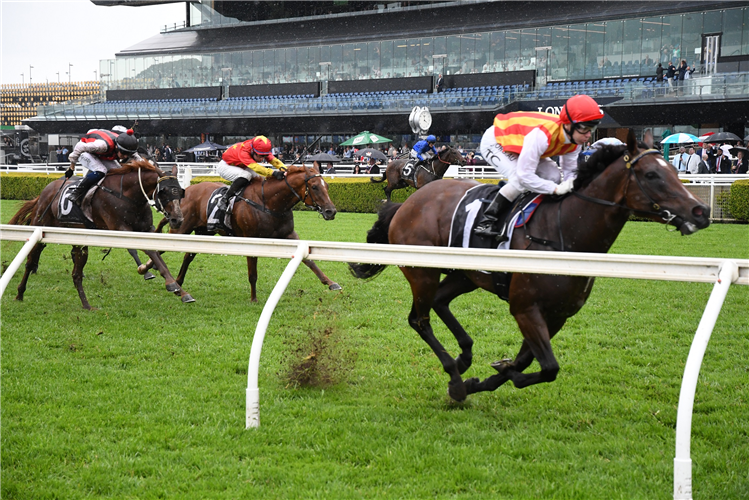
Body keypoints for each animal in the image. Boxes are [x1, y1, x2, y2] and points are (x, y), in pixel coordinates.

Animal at [8, 160, 193, 308]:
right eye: (164, 191)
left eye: (180, 191)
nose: (177, 219)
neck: (128, 195)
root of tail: (44, 191)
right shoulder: (120, 229)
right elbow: (146, 251)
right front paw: (170, 283)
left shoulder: (146, 229)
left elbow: (157, 256)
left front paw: (180, 290)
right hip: (42, 227)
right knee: (30, 260)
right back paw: (20, 292)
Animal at [140, 163, 338, 300]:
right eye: (314, 187)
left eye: (327, 186)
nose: (331, 211)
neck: (269, 203)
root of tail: (186, 190)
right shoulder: (251, 240)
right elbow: (253, 273)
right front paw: (254, 299)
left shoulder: (289, 235)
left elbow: (310, 261)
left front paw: (330, 283)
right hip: (181, 228)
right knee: (158, 247)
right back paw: (148, 270)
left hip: (204, 232)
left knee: (187, 256)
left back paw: (178, 282)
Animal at [348, 132, 712, 402]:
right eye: (652, 174)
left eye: (675, 171)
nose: (701, 211)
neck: (565, 231)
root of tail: (406, 205)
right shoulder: (525, 307)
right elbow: (548, 367)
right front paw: (481, 378)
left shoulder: (558, 314)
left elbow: (530, 363)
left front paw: (490, 375)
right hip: (421, 271)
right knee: (419, 319)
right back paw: (454, 374)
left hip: (466, 275)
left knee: (439, 302)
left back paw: (464, 359)